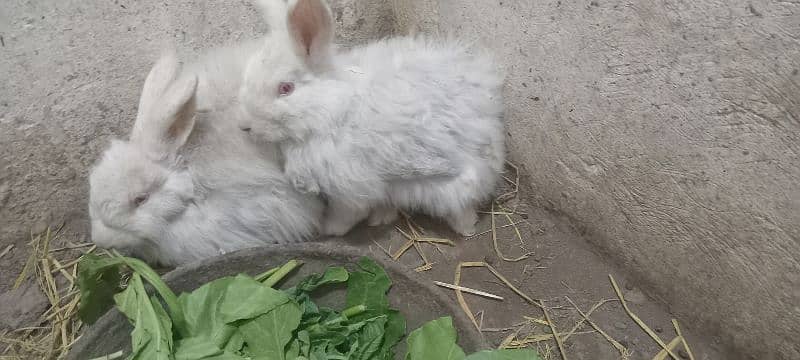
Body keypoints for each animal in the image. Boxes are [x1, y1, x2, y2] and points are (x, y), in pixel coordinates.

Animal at [234, 0, 506, 236]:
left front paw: (328, 229)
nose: (244, 126)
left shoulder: (351, 190)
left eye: (286, 88)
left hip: (448, 183)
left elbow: (347, 214)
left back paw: (466, 228)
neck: (332, 108)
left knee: (462, 205)